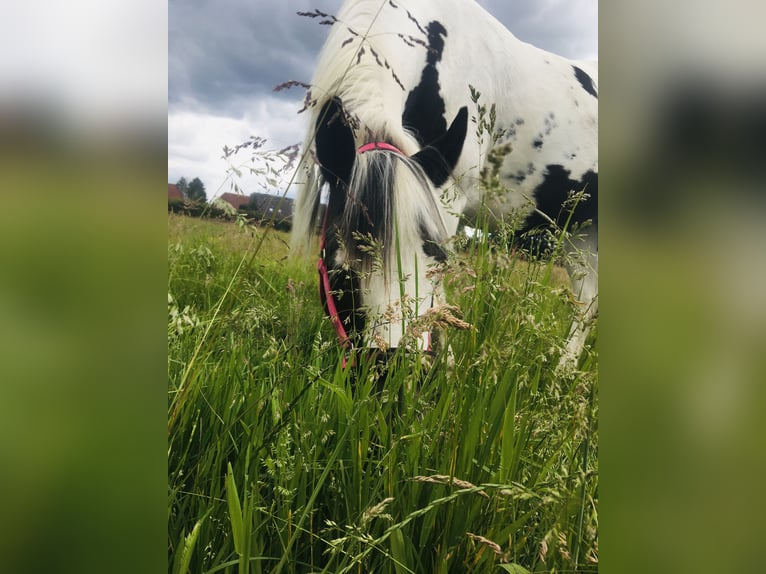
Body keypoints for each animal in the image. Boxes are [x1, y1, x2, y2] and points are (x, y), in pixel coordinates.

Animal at [294, 0, 600, 368]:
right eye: (340, 270)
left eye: (439, 264)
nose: (394, 369)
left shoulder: (449, 194)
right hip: (579, 234)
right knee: (587, 299)